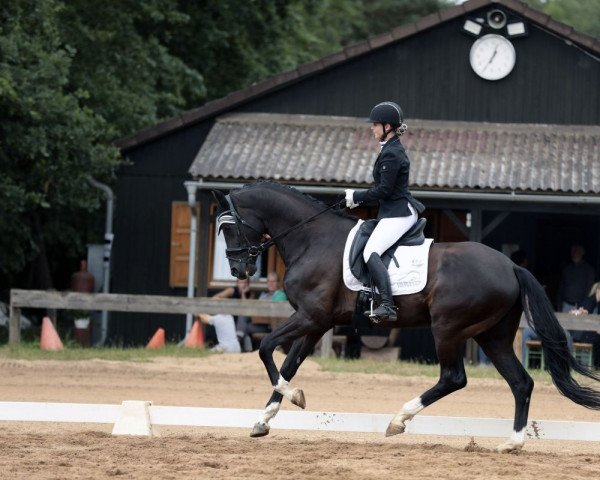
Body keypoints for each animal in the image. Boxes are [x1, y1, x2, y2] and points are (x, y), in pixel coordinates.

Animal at [214, 182, 600, 452]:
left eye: (229, 228)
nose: (238, 270)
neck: (312, 239)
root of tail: (511, 266)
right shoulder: (317, 322)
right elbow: (289, 364)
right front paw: (264, 420)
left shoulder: (310, 317)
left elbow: (265, 348)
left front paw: (293, 397)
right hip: (493, 337)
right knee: (521, 383)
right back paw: (512, 443)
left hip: (448, 328)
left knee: (454, 377)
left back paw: (398, 420)